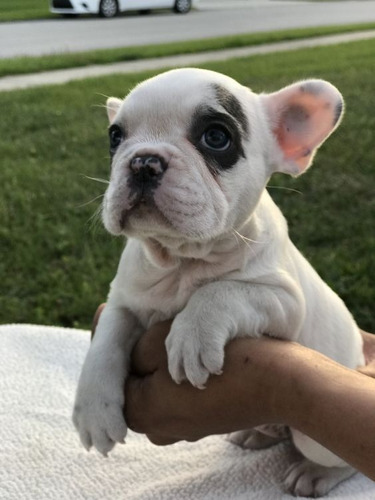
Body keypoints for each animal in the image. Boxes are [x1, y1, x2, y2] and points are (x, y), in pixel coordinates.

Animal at [72, 67, 364, 496]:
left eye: (216, 136)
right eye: (115, 137)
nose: (143, 161)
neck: (182, 260)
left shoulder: (285, 301)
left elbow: (223, 290)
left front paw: (192, 333)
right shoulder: (122, 297)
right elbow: (107, 337)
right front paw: (94, 408)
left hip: (318, 434)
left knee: (336, 458)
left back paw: (317, 473)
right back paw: (258, 432)